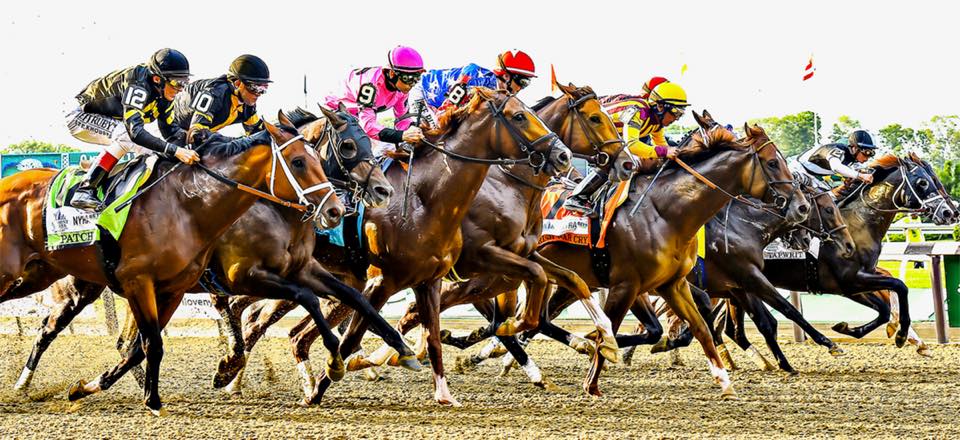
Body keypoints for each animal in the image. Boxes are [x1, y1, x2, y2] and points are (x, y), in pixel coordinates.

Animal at [0, 115, 342, 415]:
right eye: (298, 162)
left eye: (318, 159)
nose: (335, 210)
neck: (187, 206)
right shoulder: (143, 281)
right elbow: (152, 343)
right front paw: (153, 400)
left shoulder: (173, 289)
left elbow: (141, 346)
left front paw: (90, 388)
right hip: (26, 276)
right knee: (50, 328)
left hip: (39, 275)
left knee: (50, 327)